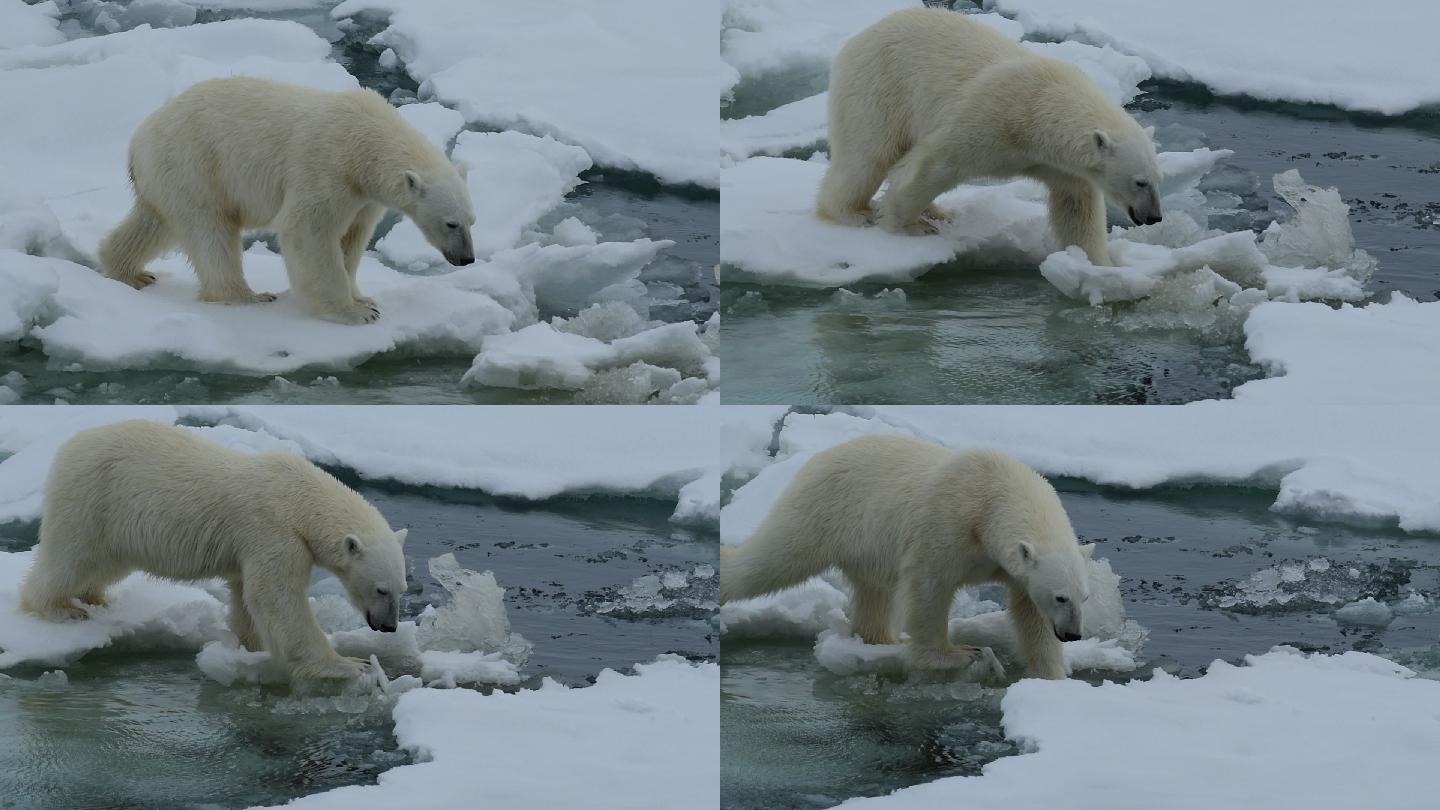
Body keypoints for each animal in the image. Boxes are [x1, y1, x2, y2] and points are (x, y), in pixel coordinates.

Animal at [18, 417, 411, 677]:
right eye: (381, 588)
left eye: (402, 588)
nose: (389, 626)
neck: (298, 498)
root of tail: (68, 447)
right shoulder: (274, 531)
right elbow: (277, 598)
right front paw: (349, 665)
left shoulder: (251, 546)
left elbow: (247, 597)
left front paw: (252, 648)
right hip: (93, 499)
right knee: (70, 557)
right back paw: (61, 609)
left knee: (105, 564)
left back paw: (95, 598)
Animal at [97, 77, 478, 322]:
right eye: (450, 223)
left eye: (472, 221)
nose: (467, 259)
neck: (363, 142)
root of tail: (137, 140)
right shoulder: (327, 168)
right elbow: (310, 230)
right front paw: (354, 311)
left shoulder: (364, 195)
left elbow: (352, 238)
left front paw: (361, 296)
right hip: (195, 165)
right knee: (210, 232)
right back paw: (246, 295)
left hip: (168, 176)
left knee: (154, 222)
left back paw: (130, 272)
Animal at [720, 435, 1088, 674]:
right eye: (1060, 597)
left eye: (1083, 597)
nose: (1073, 634)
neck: (992, 498)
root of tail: (816, 457)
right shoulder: (948, 523)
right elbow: (929, 587)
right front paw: (958, 654)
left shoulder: (1014, 567)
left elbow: (1030, 613)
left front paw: (1051, 674)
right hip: (822, 510)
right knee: (770, 560)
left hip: (866, 544)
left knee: (874, 593)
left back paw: (880, 640)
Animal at [817, 7, 1163, 265]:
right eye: (1139, 181)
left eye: (1157, 179)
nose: (1154, 217)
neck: (1041, 107)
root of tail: (859, 38)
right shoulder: (992, 115)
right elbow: (932, 164)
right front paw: (906, 225)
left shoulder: (1057, 163)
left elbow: (1076, 205)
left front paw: (1098, 265)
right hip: (879, 86)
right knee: (868, 155)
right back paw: (853, 213)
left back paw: (939, 212)